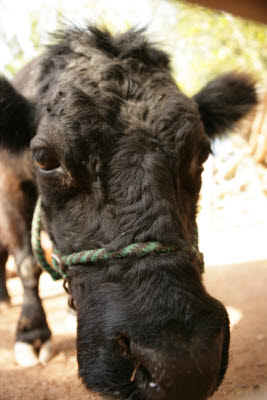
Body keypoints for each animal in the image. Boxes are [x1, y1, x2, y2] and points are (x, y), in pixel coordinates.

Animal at [0, 26, 258, 398]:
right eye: (45, 158)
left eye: (203, 152)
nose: (181, 364)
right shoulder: (9, 187)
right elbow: (26, 265)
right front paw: (31, 335)